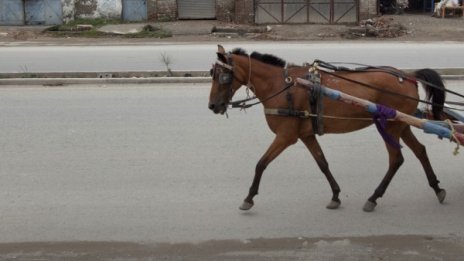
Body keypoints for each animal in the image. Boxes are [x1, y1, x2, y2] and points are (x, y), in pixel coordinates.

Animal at [208, 44, 446, 211]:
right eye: (213, 74)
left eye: (223, 76)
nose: (213, 106)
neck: (282, 86)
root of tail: (409, 76)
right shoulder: (306, 135)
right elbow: (322, 163)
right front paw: (335, 195)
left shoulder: (286, 136)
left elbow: (261, 163)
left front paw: (249, 197)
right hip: (402, 125)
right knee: (420, 151)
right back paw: (437, 188)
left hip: (390, 126)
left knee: (396, 159)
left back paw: (374, 197)